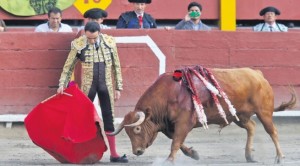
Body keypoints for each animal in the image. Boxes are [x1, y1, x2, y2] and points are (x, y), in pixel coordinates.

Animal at [109, 67, 296, 163]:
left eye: (137, 129)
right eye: (128, 132)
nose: (137, 151)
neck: (168, 94)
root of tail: (258, 74)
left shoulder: (185, 122)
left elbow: (175, 142)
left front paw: (169, 160)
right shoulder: (169, 125)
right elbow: (176, 140)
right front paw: (193, 154)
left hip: (264, 112)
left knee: (272, 131)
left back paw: (279, 157)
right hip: (239, 116)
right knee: (251, 126)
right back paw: (249, 156)